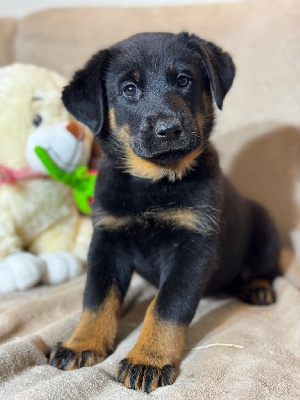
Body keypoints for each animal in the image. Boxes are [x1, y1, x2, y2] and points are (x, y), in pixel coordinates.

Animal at [49, 32, 278, 392]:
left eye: (184, 80)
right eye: (129, 89)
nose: (169, 129)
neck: (155, 182)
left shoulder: (193, 248)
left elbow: (167, 307)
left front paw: (148, 359)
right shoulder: (107, 241)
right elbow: (96, 298)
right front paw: (82, 343)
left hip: (266, 230)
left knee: (264, 266)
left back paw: (258, 287)